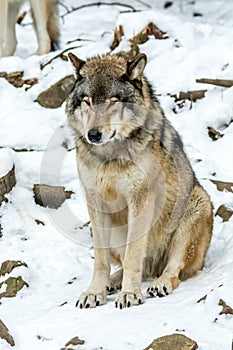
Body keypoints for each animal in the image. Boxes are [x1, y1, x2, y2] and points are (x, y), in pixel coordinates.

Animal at [66, 52, 213, 308]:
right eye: (87, 101)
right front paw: (95, 292)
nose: (93, 135)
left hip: (196, 204)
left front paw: (130, 294)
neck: (110, 157)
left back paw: (159, 284)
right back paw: (113, 282)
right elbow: (101, 260)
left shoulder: (140, 198)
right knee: (132, 265)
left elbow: (134, 254)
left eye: (113, 101)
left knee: (172, 269)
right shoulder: (95, 201)